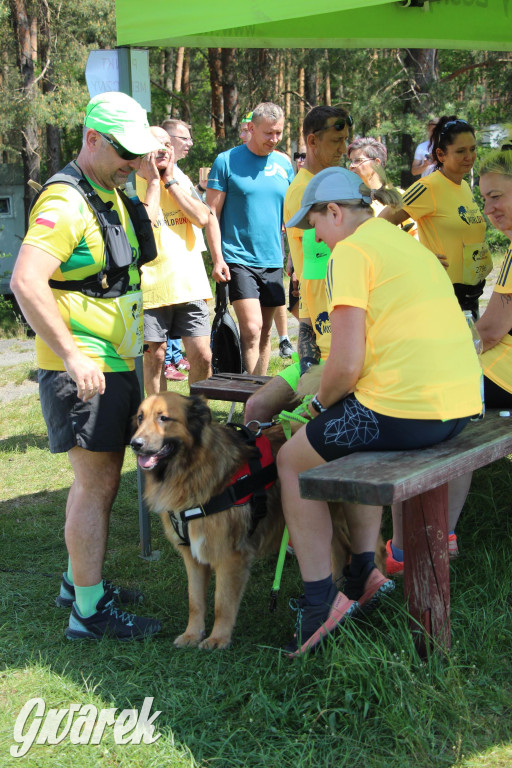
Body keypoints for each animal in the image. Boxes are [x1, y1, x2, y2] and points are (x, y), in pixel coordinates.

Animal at [132, 392, 384, 652]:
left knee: (374, 546)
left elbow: (221, 603)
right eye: (140, 417)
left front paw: (218, 638)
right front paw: (192, 634)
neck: (191, 469)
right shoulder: (192, 556)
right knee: (339, 548)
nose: (135, 444)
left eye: (163, 418)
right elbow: (195, 601)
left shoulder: (230, 556)